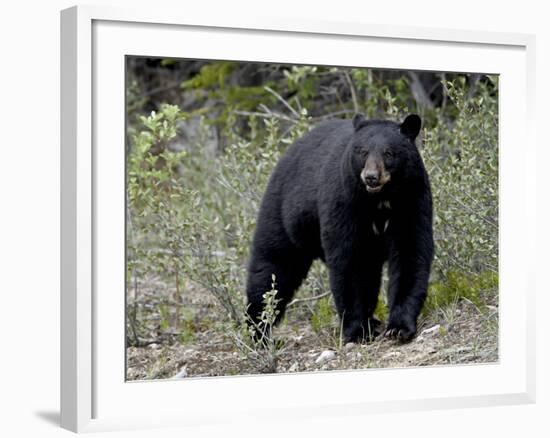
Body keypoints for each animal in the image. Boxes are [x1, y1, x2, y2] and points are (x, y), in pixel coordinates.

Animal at [247, 114, 436, 342]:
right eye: (362, 151)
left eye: (389, 153)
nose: (371, 176)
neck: (379, 200)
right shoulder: (345, 201)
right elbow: (350, 260)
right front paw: (358, 331)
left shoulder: (411, 198)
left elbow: (410, 251)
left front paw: (398, 327)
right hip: (283, 213)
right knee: (272, 267)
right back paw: (259, 331)